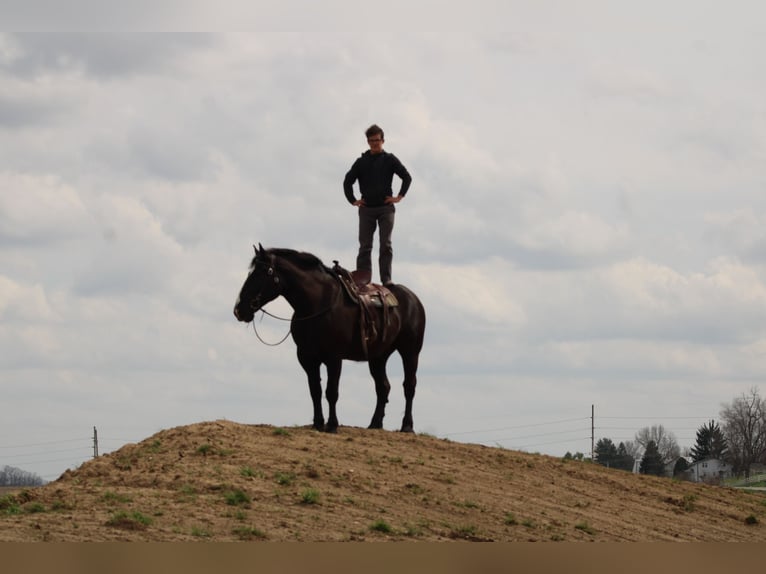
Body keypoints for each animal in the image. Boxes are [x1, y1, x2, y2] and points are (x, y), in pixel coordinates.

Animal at [233, 245, 426, 433]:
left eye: (263, 272)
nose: (239, 310)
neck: (317, 304)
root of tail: (413, 299)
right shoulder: (307, 358)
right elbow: (315, 391)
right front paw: (318, 423)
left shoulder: (334, 358)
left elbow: (331, 391)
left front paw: (332, 425)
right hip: (378, 357)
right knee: (383, 387)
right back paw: (375, 423)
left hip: (410, 352)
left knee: (409, 386)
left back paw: (407, 426)